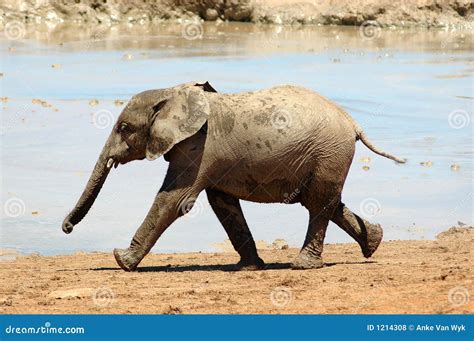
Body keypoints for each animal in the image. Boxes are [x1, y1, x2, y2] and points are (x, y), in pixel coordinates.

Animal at [61, 80, 406, 270]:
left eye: (123, 127)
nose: (66, 228)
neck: (174, 93)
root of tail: (352, 123)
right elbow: (222, 203)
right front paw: (249, 267)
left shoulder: (199, 147)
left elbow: (174, 200)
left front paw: (121, 260)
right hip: (327, 157)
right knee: (323, 201)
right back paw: (374, 241)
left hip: (329, 152)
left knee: (318, 204)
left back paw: (303, 265)